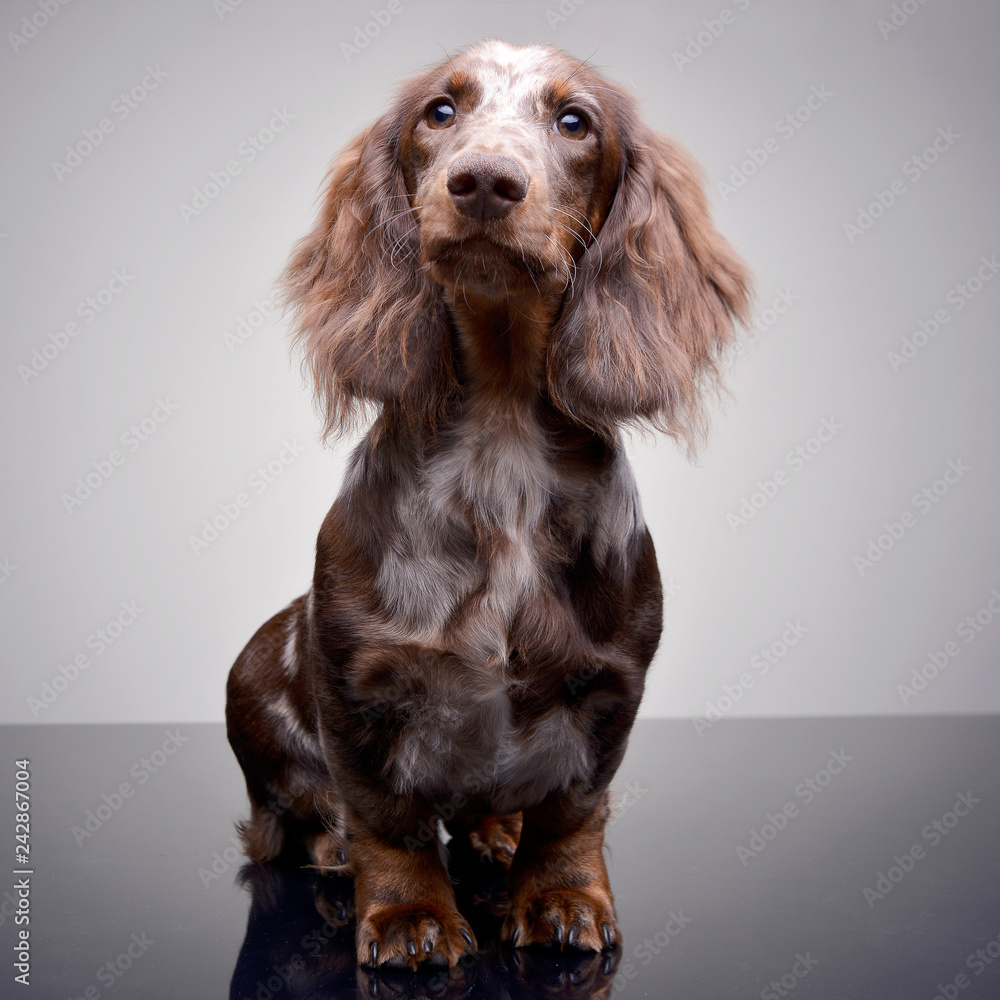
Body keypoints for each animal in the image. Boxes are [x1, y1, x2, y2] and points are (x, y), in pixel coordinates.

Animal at [227, 37, 752, 968]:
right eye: (441, 111)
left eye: (575, 120)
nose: (483, 182)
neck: (502, 437)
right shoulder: (354, 686)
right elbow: (386, 821)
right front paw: (408, 915)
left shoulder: (610, 689)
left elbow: (573, 814)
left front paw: (563, 899)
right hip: (252, 679)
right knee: (290, 815)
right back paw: (331, 845)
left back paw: (497, 832)